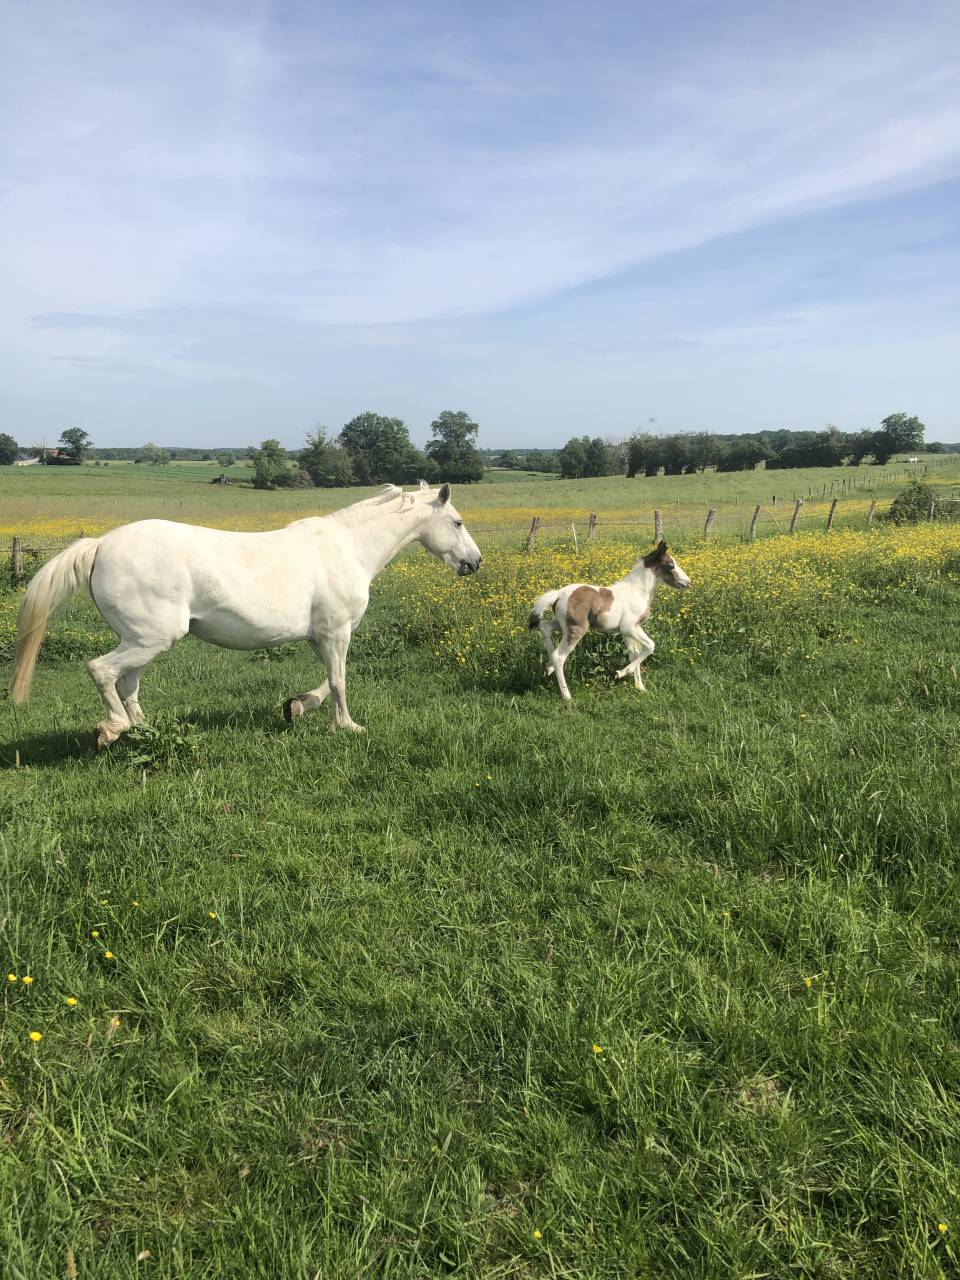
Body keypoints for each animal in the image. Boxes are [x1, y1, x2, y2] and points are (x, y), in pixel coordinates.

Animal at [9, 483, 481, 746]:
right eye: (457, 522)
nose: (474, 563)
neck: (347, 548)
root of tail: (101, 544)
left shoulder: (321, 636)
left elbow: (328, 681)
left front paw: (296, 707)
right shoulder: (336, 632)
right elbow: (340, 681)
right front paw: (347, 727)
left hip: (142, 641)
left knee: (126, 683)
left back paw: (141, 731)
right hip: (151, 638)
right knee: (102, 671)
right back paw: (113, 729)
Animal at [527, 540, 690, 701]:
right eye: (671, 565)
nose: (688, 582)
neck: (637, 590)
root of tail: (558, 594)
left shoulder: (631, 629)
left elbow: (635, 653)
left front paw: (640, 687)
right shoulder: (628, 627)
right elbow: (650, 646)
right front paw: (621, 673)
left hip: (564, 625)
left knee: (545, 627)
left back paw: (549, 668)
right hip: (577, 628)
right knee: (559, 656)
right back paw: (567, 696)